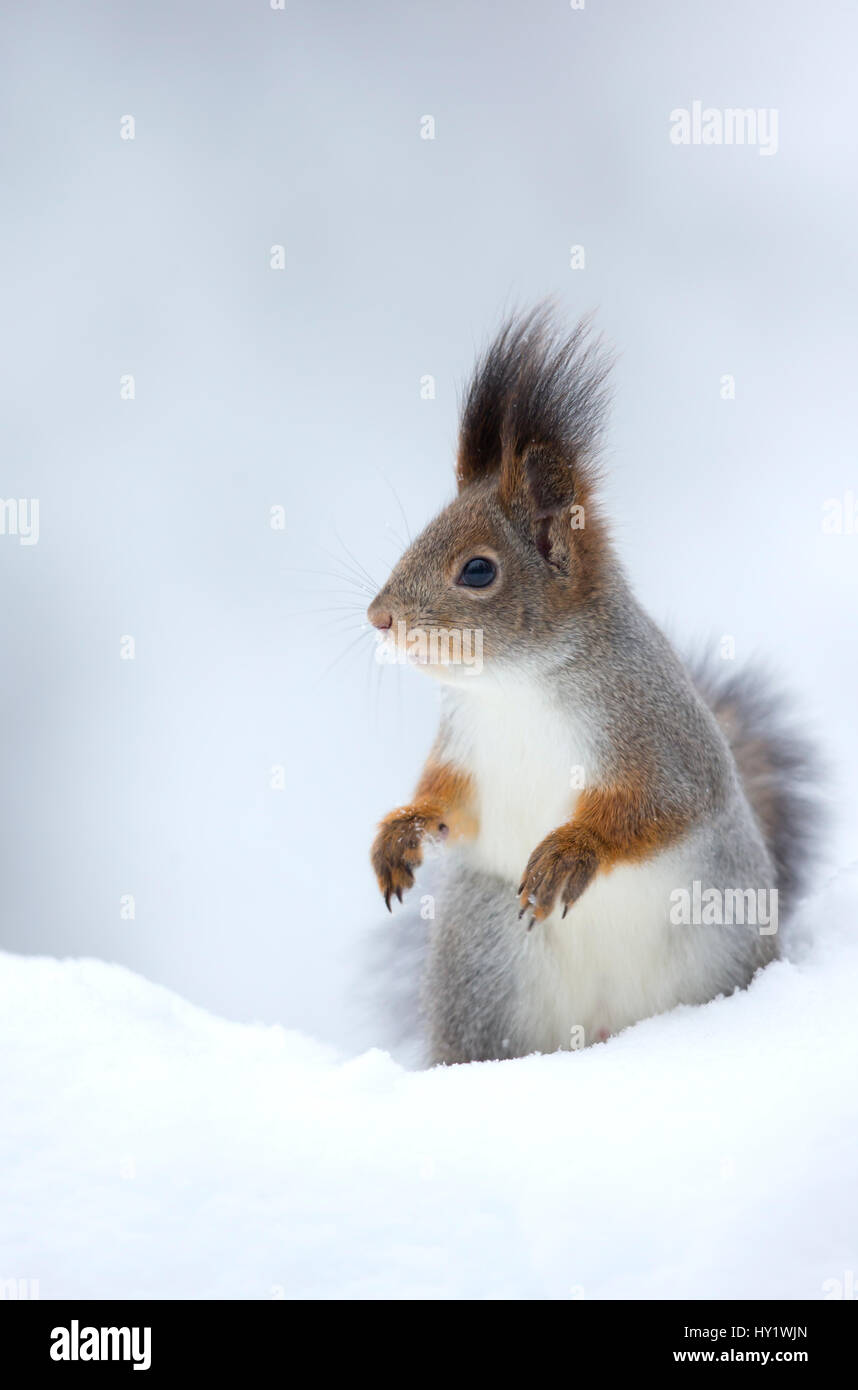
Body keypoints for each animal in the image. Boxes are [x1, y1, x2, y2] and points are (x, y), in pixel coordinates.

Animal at [364, 307, 817, 1061]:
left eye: (478, 570)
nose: (380, 618)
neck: (514, 686)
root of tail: (608, 1032)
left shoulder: (658, 732)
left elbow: (660, 807)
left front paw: (572, 852)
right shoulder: (465, 747)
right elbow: (451, 803)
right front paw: (401, 830)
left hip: (720, 930)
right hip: (482, 952)